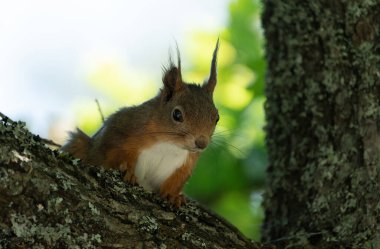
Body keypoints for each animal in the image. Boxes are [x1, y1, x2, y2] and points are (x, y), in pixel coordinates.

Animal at [62, 40, 220, 207]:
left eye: (217, 117)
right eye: (177, 114)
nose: (201, 143)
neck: (169, 145)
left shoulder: (183, 166)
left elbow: (174, 184)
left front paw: (173, 196)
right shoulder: (120, 128)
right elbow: (110, 154)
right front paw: (128, 172)